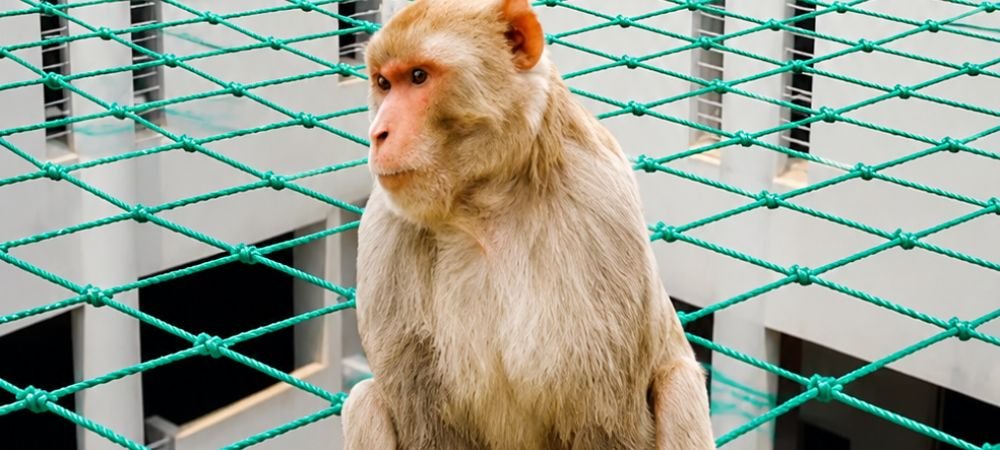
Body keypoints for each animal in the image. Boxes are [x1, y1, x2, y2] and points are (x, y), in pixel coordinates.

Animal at [341, 0, 716, 449]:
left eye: (418, 76)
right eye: (383, 82)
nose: (378, 133)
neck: (482, 207)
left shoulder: (602, 210)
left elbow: (607, 423)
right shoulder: (385, 231)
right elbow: (428, 424)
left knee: (679, 385)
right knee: (364, 400)